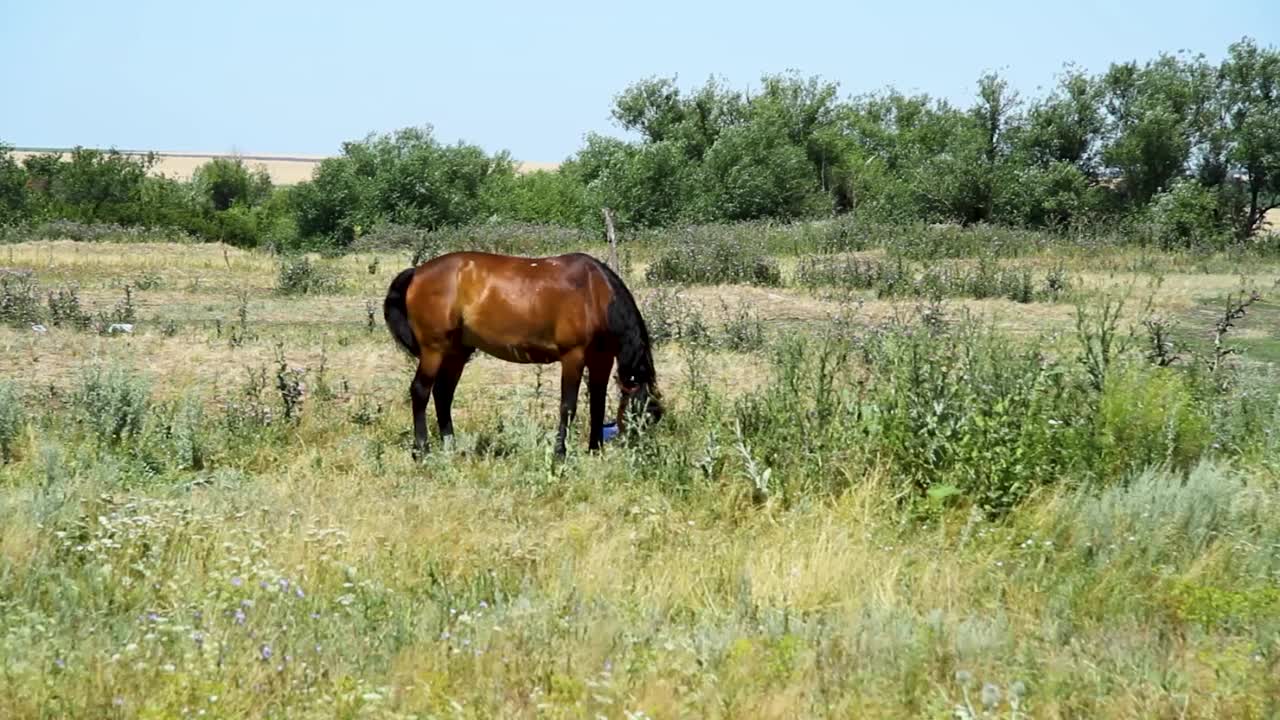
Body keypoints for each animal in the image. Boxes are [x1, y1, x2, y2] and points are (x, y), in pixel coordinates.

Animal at [378, 249, 665, 456]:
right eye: (643, 414)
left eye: (653, 417)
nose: (642, 453)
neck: (595, 293)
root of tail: (417, 272)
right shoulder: (573, 356)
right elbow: (568, 406)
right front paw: (560, 452)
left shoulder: (601, 358)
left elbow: (597, 403)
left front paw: (595, 449)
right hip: (434, 350)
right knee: (421, 391)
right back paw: (421, 450)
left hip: (457, 352)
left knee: (443, 394)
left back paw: (451, 447)